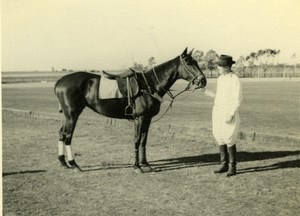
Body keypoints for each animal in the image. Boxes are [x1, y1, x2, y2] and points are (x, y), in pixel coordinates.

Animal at [54, 48, 206, 173]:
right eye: (189, 63)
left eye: (196, 61)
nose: (203, 80)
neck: (149, 85)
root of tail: (60, 81)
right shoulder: (140, 118)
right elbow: (137, 140)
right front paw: (137, 166)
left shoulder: (147, 119)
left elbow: (144, 140)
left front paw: (145, 164)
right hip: (72, 115)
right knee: (68, 136)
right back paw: (74, 164)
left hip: (68, 116)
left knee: (61, 133)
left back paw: (63, 163)